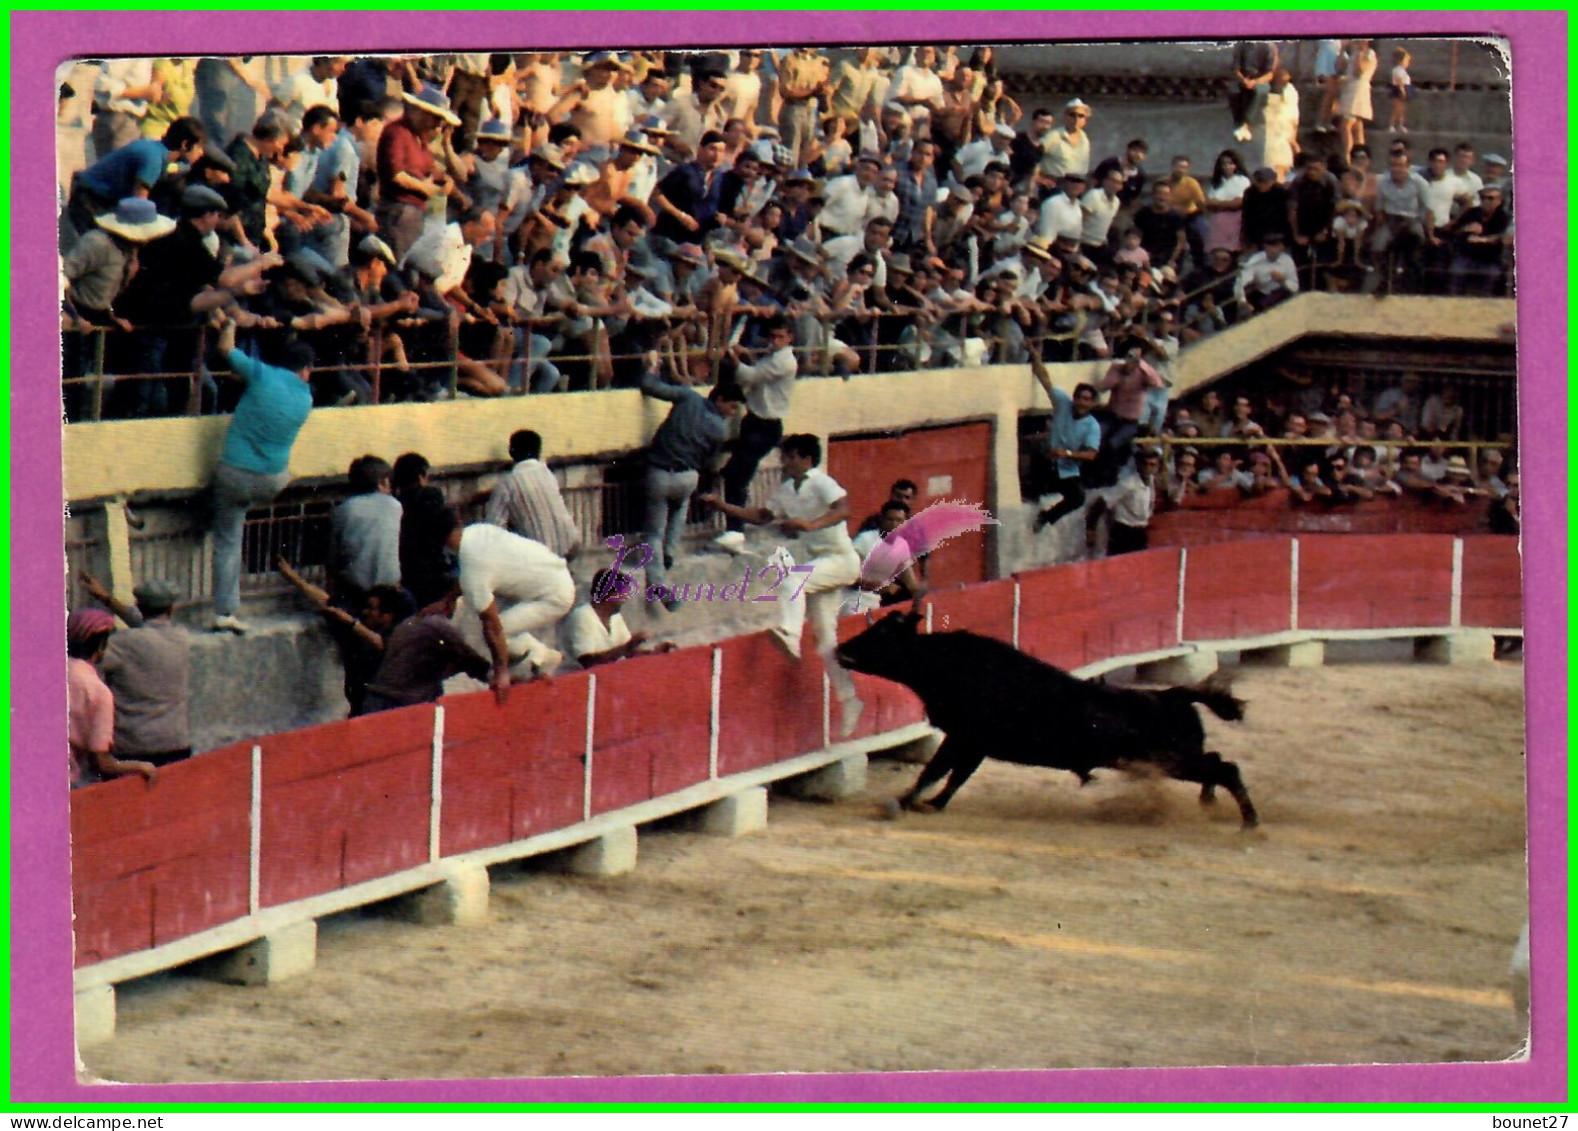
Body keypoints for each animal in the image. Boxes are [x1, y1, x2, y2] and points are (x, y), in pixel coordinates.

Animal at [833, 608, 1262, 826]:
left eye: (881, 635)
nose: (839, 650)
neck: (948, 665)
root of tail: (1173, 695)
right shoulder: (972, 744)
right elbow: (953, 778)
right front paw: (931, 805)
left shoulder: (965, 739)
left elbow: (935, 772)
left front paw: (902, 803)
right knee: (1217, 764)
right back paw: (1210, 804)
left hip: (1168, 760)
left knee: (1225, 768)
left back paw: (1249, 820)